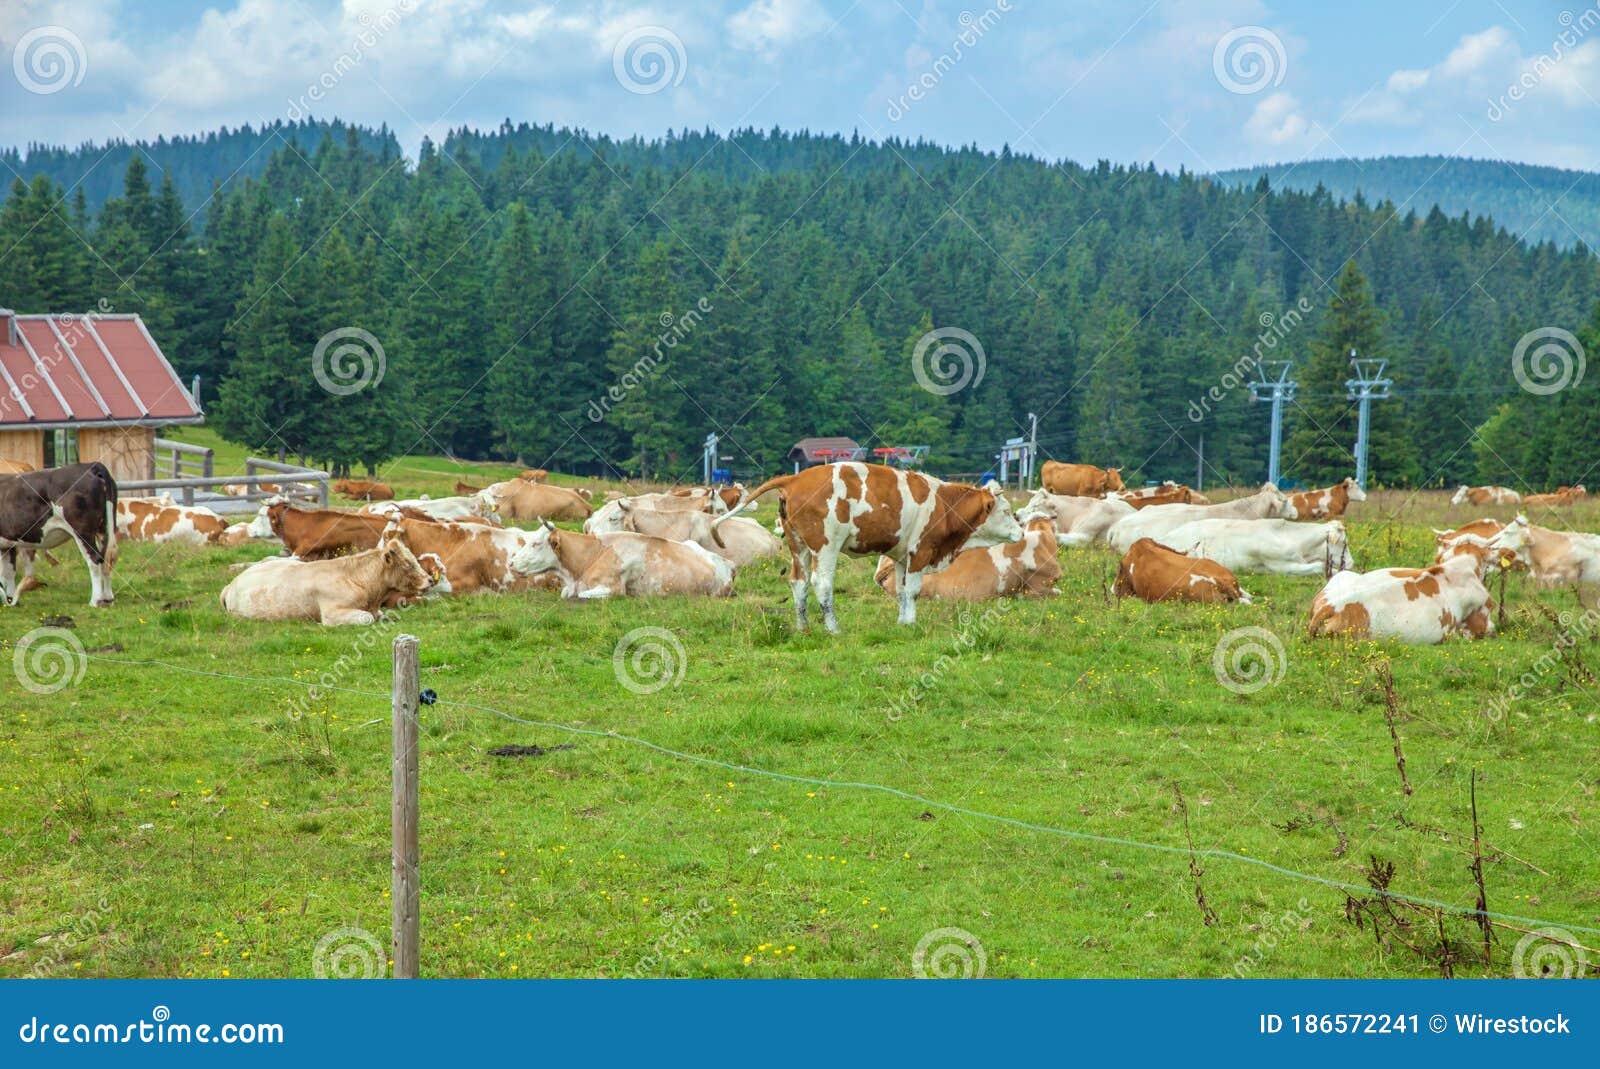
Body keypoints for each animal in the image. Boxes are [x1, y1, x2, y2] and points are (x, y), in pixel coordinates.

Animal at [0, 462, 117, 607]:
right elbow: (9, 571)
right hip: (105, 528)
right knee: (107, 559)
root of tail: (92, 466)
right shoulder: (8, 543)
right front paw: (11, 600)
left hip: (83, 531)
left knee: (94, 560)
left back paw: (95, 601)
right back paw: (108, 598)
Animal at [221, 528, 432, 625]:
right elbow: (367, 618)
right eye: (407, 564)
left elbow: (381, 616)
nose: (430, 580)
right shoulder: (332, 613)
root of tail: (232, 584)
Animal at [510, 523, 736, 598]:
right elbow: (566, 593)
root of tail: (728, 564)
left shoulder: (613, 589)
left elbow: (581, 595)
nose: (511, 563)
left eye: (536, 544)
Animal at [711, 463, 1023, 631]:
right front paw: (911, 622)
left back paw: (803, 626)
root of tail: (797, 477)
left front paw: (902, 622)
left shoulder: (901, 556)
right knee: (821, 584)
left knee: (799, 583)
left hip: (797, 546)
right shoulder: (920, 552)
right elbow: (913, 590)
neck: (945, 505)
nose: (1021, 531)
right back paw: (833, 628)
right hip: (826, 546)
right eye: (1006, 511)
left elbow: (901, 591)